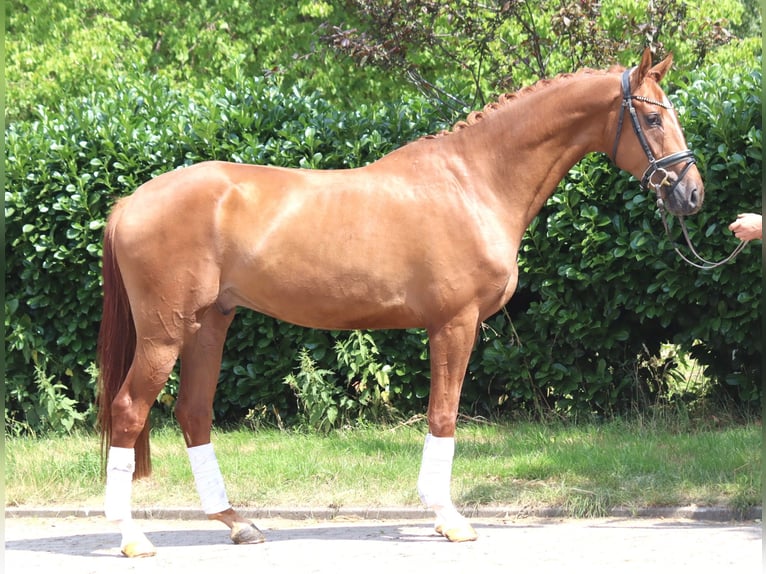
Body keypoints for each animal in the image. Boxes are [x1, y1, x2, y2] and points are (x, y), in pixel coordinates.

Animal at [96, 48, 703, 557]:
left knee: (193, 413)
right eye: (652, 118)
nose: (691, 192)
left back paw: (237, 523)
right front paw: (449, 519)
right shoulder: (454, 324)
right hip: (165, 333)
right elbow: (444, 414)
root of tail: (129, 202)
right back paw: (131, 537)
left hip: (209, 324)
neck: (473, 182)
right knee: (129, 411)